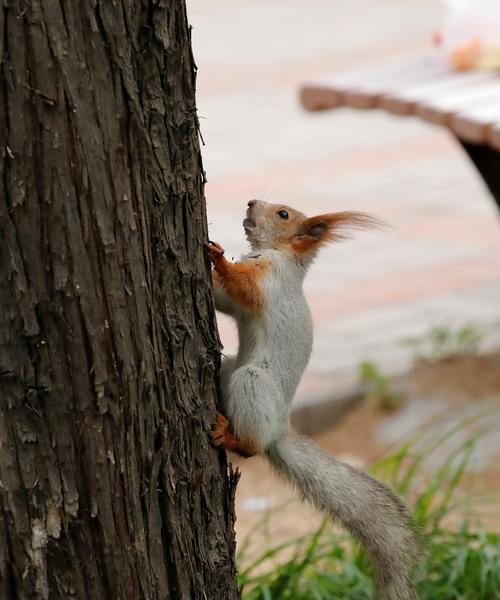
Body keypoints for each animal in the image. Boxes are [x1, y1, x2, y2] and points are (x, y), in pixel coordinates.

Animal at [206, 200, 422, 600]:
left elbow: (245, 289)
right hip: (229, 371)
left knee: (252, 448)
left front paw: (218, 257)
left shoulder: (271, 281)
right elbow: (226, 299)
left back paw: (231, 436)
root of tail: (279, 429)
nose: (250, 202)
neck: (279, 255)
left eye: (283, 214)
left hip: (252, 382)